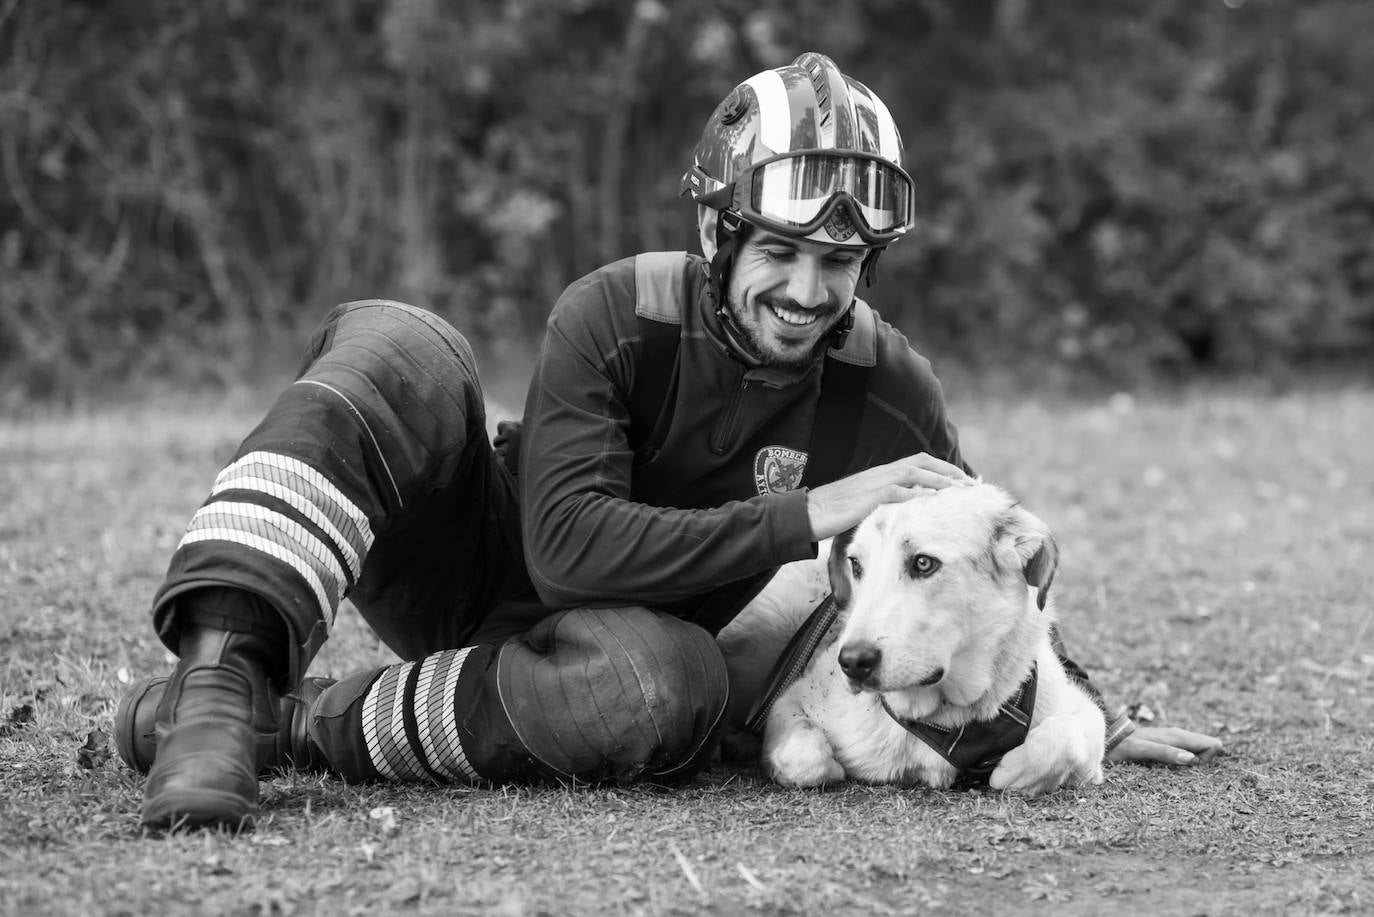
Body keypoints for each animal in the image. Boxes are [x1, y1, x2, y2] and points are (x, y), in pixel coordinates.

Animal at [719, 481, 1104, 797]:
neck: (944, 717)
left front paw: (1017, 772)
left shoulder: (1080, 709)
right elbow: (806, 759)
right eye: (856, 565)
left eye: (923, 563)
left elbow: (1065, 738)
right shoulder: (787, 702)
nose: (852, 663)